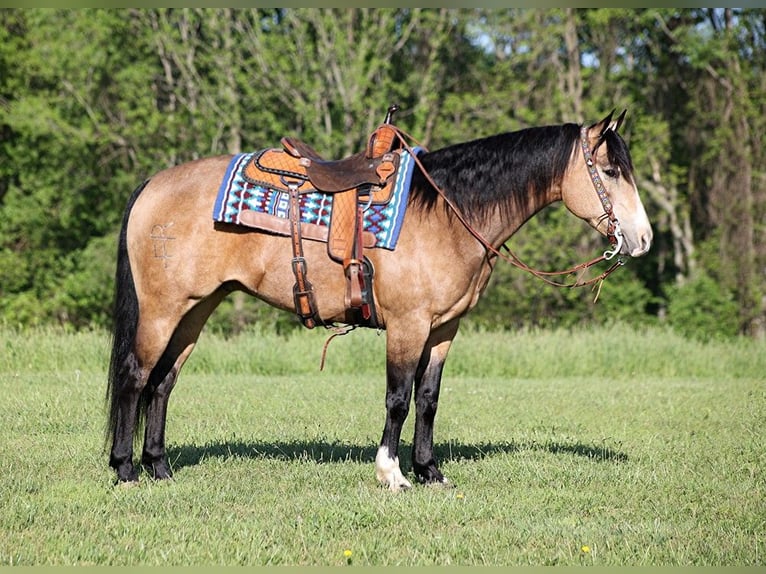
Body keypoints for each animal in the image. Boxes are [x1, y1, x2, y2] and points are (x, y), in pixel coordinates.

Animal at [106, 108, 656, 490]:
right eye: (610, 172)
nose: (644, 238)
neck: (447, 212)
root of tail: (153, 184)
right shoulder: (408, 326)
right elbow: (397, 399)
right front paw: (392, 474)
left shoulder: (443, 329)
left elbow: (428, 399)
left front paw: (431, 472)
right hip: (162, 311)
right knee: (135, 377)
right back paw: (126, 470)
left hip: (195, 310)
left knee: (162, 383)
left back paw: (160, 469)